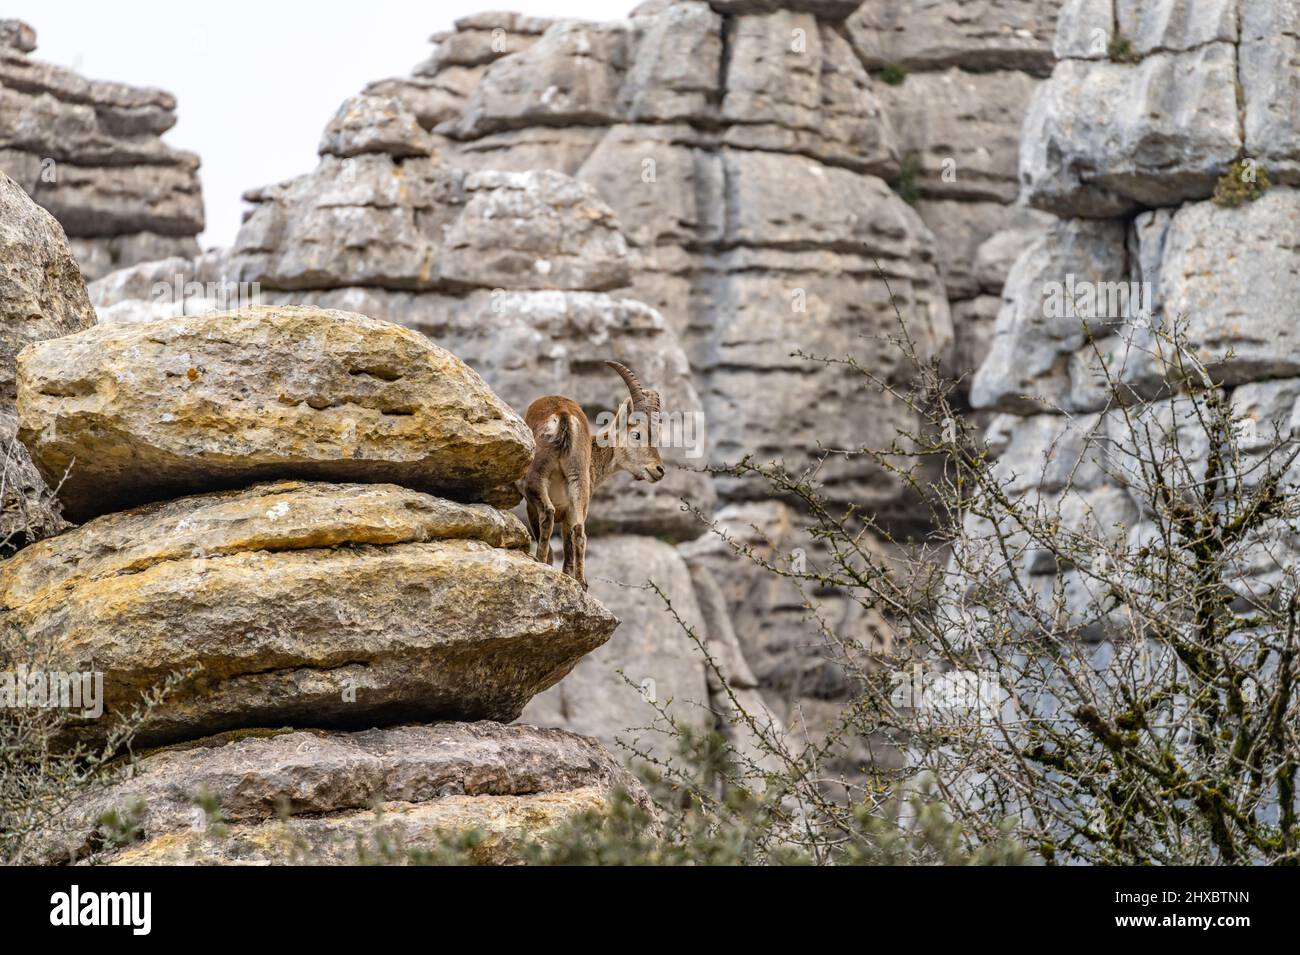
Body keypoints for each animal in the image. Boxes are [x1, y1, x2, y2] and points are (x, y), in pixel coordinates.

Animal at [522, 360, 665, 587]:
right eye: (637, 434)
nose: (659, 469)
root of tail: (563, 415)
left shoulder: (532, 505)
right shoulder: (570, 510)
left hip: (537, 478)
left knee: (549, 514)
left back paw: (543, 563)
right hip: (578, 482)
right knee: (580, 532)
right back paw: (581, 583)